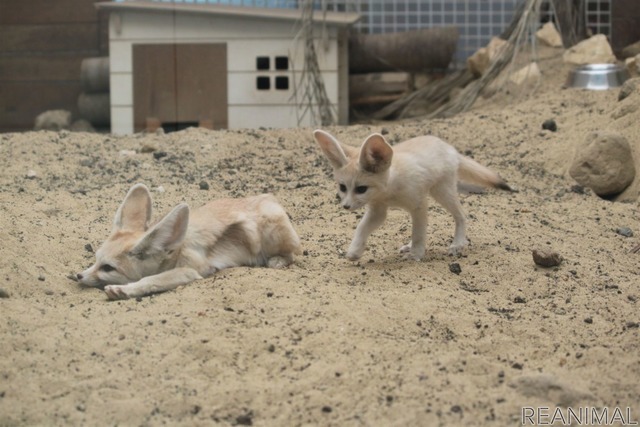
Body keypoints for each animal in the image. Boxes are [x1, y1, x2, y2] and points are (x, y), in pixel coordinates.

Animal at [76, 184, 302, 300]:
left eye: (108, 268)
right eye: (96, 260)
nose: (78, 275)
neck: (177, 249)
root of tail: (269, 198)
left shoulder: (189, 271)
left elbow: (152, 279)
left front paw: (124, 290)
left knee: (292, 254)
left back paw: (277, 260)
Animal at [312, 130, 512, 262]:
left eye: (361, 189)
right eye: (343, 187)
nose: (345, 206)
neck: (389, 191)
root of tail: (450, 148)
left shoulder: (419, 206)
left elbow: (418, 233)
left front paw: (416, 254)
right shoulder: (378, 210)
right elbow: (361, 228)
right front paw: (355, 250)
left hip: (442, 192)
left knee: (461, 216)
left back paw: (457, 243)